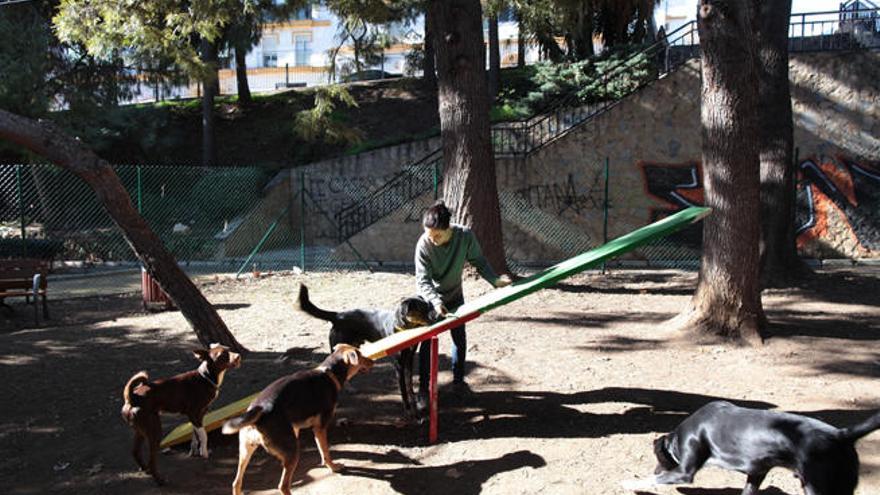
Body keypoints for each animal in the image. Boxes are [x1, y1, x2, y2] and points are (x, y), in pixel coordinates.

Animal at [121, 344, 241, 484]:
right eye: (222, 355)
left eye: (229, 349)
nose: (238, 356)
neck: (205, 377)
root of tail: (133, 397)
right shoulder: (194, 413)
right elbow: (203, 434)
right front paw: (204, 452)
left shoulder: (199, 415)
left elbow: (195, 434)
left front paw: (195, 450)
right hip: (155, 430)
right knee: (151, 459)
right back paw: (160, 480)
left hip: (140, 430)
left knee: (135, 451)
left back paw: (146, 470)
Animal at [222, 344, 372, 495]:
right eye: (360, 355)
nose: (372, 361)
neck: (330, 374)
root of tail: (259, 409)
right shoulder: (320, 428)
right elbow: (325, 452)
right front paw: (333, 467)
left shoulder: (296, 428)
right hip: (291, 451)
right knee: (283, 485)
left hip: (246, 450)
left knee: (236, 482)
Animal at [296, 284, 436, 420]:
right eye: (422, 310)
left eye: (428, 308)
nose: (434, 320)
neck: (403, 328)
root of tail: (337, 315)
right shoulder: (398, 364)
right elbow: (403, 391)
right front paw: (408, 412)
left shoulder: (409, 359)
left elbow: (410, 387)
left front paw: (415, 409)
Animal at [624, 402, 880, 494]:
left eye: (658, 459)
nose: (656, 469)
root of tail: (840, 434)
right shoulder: (757, 471)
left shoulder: (684, 472)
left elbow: (653, 480)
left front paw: (631, 483)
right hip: (841, 485)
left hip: (816, 486)